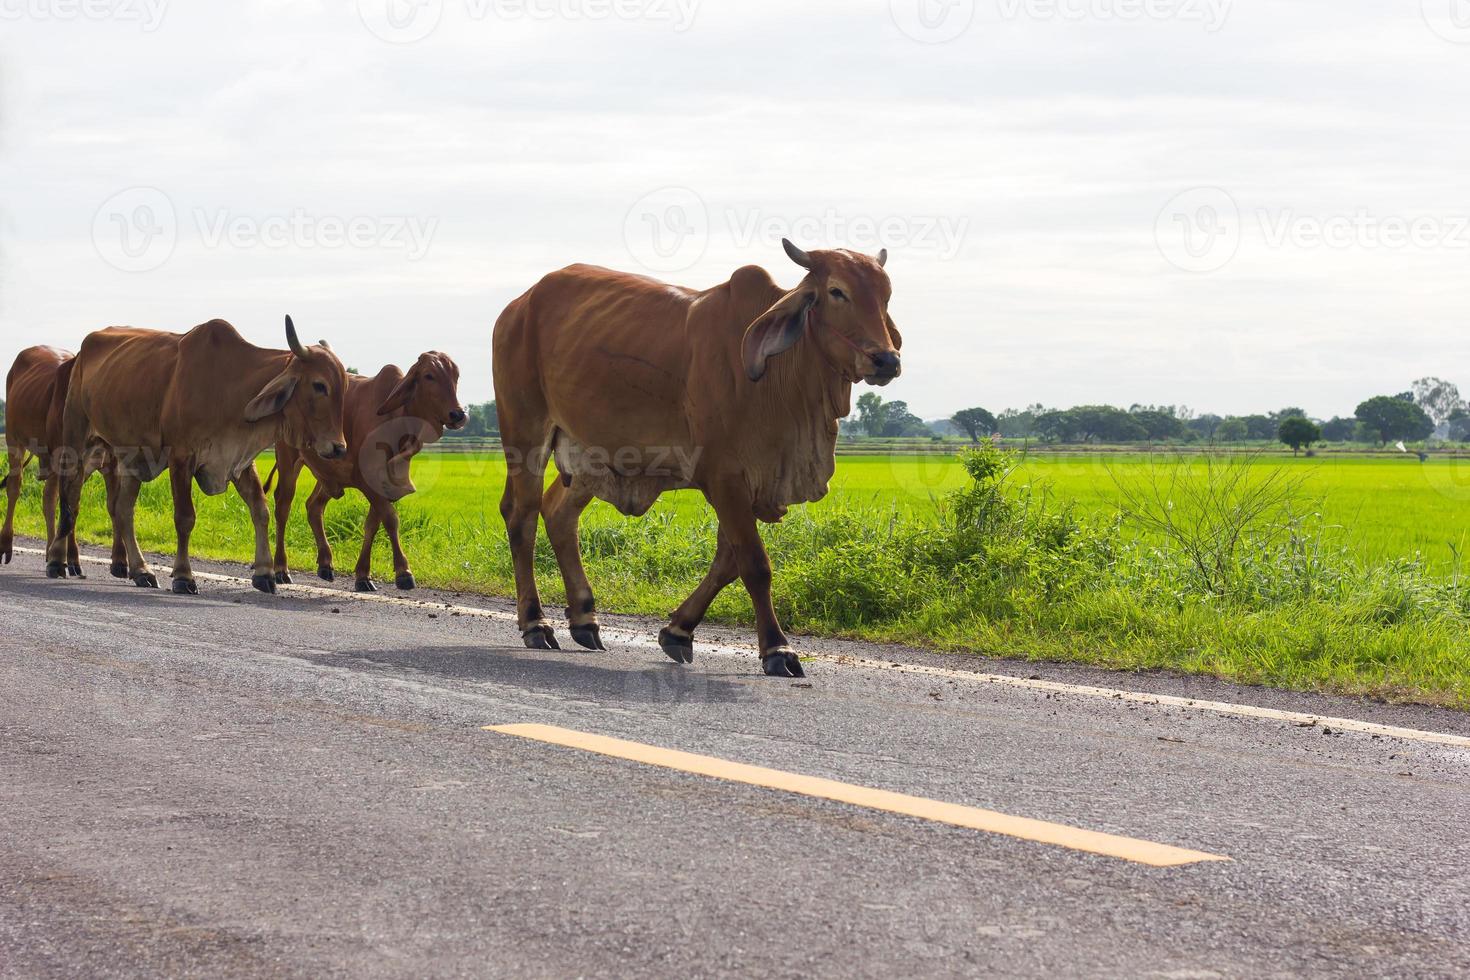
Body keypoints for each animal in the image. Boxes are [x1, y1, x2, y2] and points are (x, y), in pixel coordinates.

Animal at [49, 320, 349, 599]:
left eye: (344, 385)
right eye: (319, 385)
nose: (339, 447)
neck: (230, 386)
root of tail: (81, 352)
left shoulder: (239, 460)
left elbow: (260, 510)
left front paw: (265, 573)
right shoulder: (182, 457)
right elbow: (185, 518)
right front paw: (183, 576)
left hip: (132, 457)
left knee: (122, 510)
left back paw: (141, 570)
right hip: (77, 442)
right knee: (70, 502)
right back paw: (56, 561)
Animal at [267, 357, 464, 593]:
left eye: (456, 375)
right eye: (429, 376)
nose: (458, 414)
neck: (396, 419)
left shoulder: (384, 484)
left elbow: (372, 525)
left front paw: (363, 575)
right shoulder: (369, 480)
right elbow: (391, 520)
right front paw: (403, 572)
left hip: (328, 474)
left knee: (313, 506)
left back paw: (325, 563)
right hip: (288, 460)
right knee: (283, 507)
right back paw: (281, 569)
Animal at [493, 240, 899, 678]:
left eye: (886, 295)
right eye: (837, 291)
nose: (887, 360)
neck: (781, 379)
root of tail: (519, 305)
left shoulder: (756, 483)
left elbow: (728, 562)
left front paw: (678, 631)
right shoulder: (724, 477)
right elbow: (754, 564)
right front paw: (777, 649)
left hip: (588, 457)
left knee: (558, 514)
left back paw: (585, 619)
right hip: (525, 434)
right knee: (522, 518)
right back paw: (535, 623)